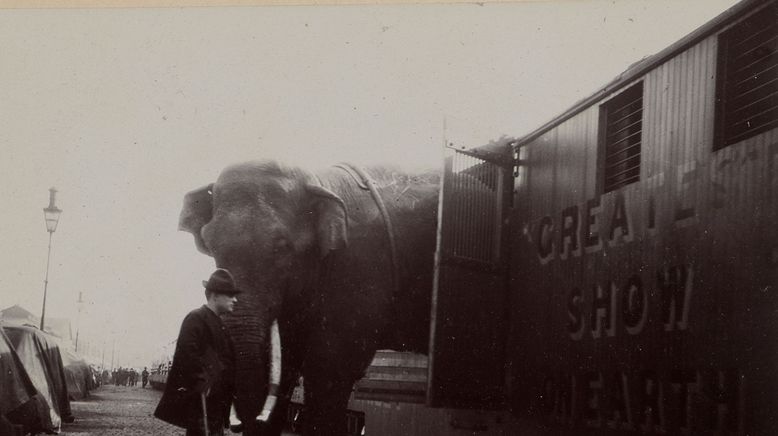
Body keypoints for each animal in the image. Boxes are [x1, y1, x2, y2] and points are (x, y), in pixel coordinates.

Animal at [178, 161, 440, 436]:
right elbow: (286, 361)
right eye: (210, 244)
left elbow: (328, 368)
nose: (235, 425)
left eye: (282, 247)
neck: (319, 180)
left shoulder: (361, 267)